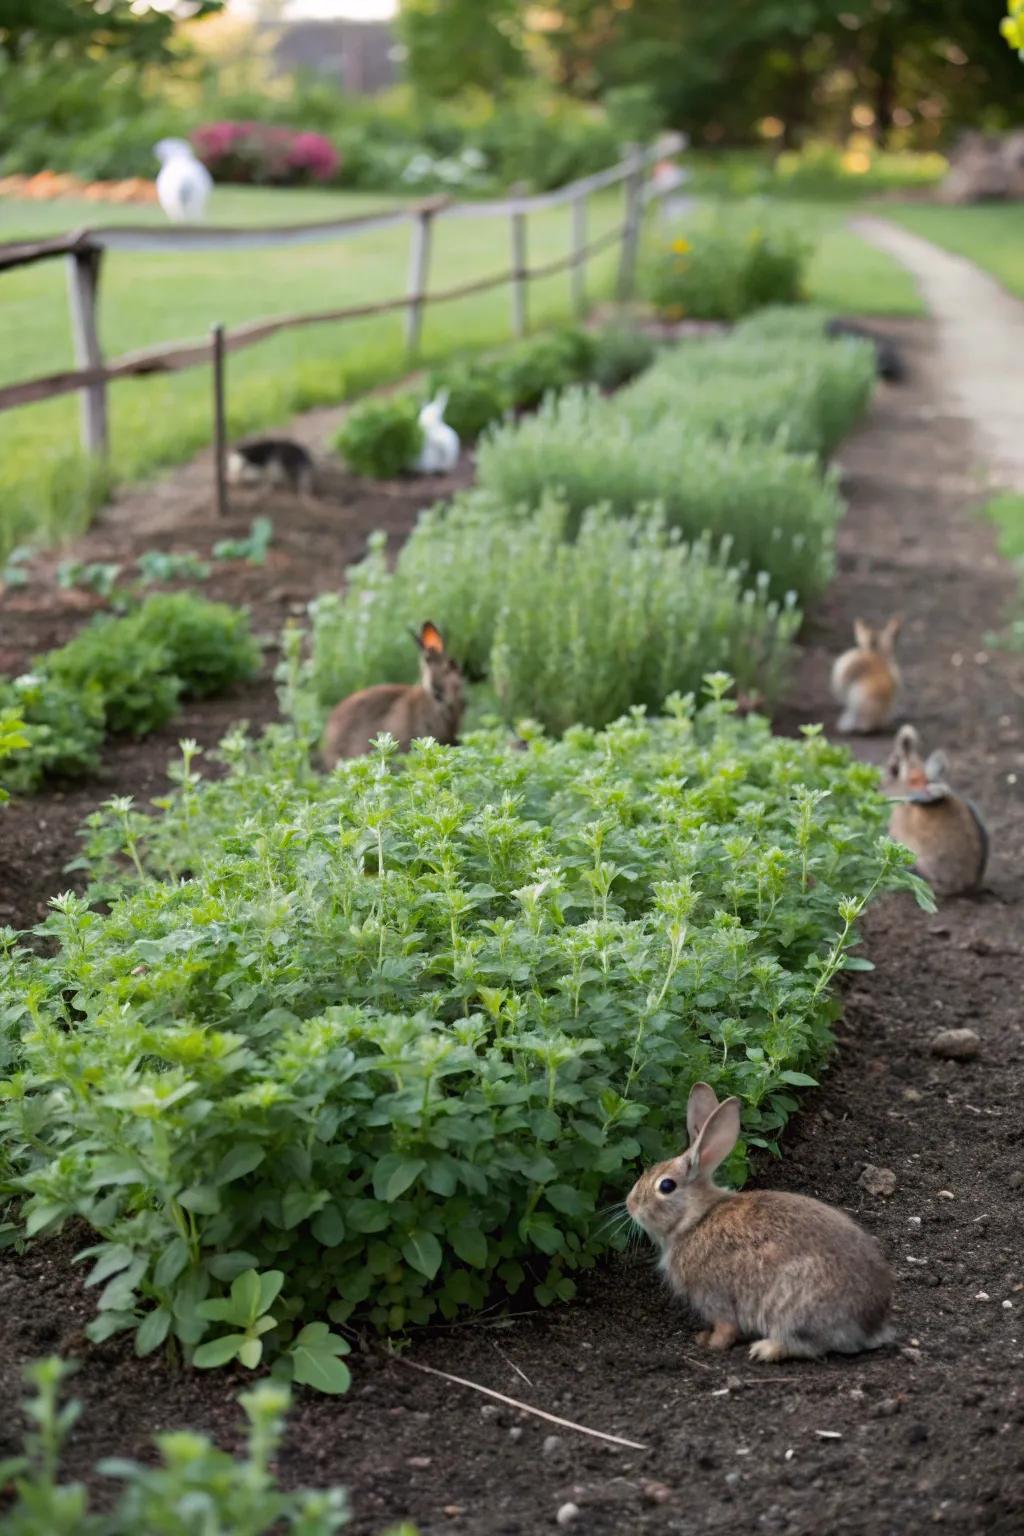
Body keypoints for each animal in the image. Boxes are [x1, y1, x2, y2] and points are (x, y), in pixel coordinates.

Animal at [626, 1082, 894, 1363]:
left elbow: (726, 1328)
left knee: (806, 1345)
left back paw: (764, 1349)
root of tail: (871, 1325)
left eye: (666, 1186)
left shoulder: (714, 1297)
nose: (630, 1204)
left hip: (791, 1308)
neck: (695, 1219)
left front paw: (710, 1344)